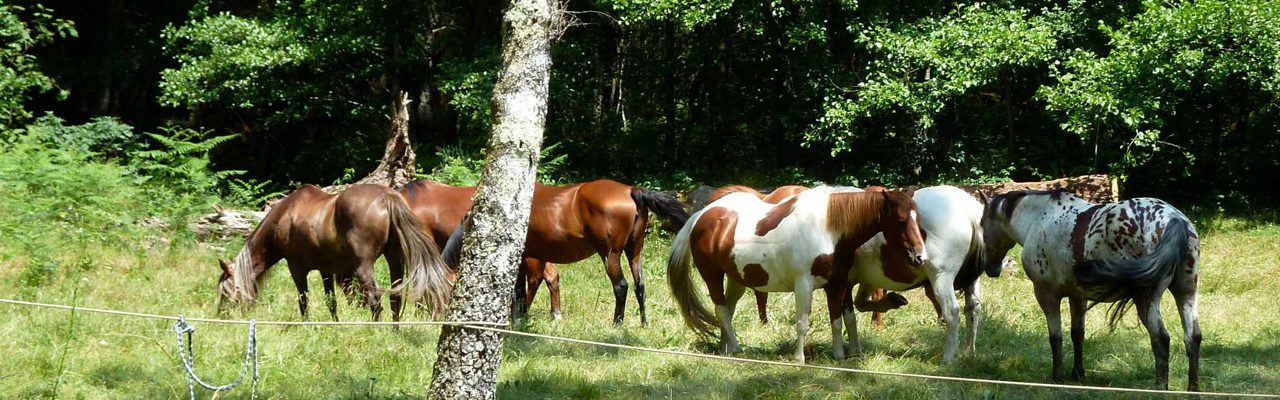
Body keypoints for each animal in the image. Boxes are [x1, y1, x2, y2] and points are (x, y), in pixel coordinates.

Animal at [211, 184, 450, 321]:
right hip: (394, 260)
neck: (285, 216)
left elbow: (303, 301)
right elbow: (331, 302)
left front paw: (307, 325)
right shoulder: (326, 270)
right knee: (395, 297)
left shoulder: (296, 269)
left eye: (226, 291)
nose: (221, 317)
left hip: (364, 266)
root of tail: (386, 197)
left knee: (375, 300)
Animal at [396, 178, 691, 325]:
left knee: (621, 287)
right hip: (634, 252)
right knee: (640, 286)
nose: (432, 318)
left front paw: (517, 320)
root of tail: (630, 190)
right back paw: (643, 323)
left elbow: (517, 290)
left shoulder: (522, 256)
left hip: (610, 254)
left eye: (434, 293)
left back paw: (617, 324)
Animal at [665, 187, 926, 361]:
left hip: (736, 279)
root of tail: (702, 216)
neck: (829, 229)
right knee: (721, 310)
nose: (919, 257)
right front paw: (799, 359)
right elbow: (802, 323)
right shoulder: (804, 285)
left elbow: (841, 320)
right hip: (712, 276)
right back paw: (736, 348)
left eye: (918, 219)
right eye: (901, 221)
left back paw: (725, 348)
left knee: (727, 309)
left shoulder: (838, 284)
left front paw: (840, 356)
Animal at [849, 184, 988, 361]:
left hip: (941, 278)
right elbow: (860, 303)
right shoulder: (869, 279)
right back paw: (969, 351)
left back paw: (949, 357)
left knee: (952, 311)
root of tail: (969, 210)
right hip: (972, 280)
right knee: (973, 310)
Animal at [977, 191, 1198, 389]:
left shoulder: (1046, 295)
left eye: (981, 224)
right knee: (1193, 337)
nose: (991, 269)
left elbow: (1055, 337)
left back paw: (1160, 387)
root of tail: (1174, 219)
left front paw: (1058, 377)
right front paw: (1078, 373)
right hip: (1186, 292)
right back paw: (1192, 388)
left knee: (1160, 338)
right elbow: (1077, 334)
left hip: (1145, 298)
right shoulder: (1077, 296)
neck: (1038, 218)